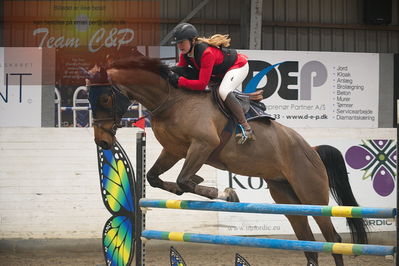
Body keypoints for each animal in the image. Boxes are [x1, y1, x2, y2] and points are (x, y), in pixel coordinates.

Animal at [86, 56, 368, 266]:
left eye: (105, 98)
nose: (102, 142)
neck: (169, 99)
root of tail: (312, 149)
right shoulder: (174, 150)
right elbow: (155, 177)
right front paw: (198, 185)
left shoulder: (203, 145)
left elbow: (184, 179)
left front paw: (223, 192)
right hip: (287, 198)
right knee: (308, 242)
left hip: (312, 195)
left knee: (332, 238)